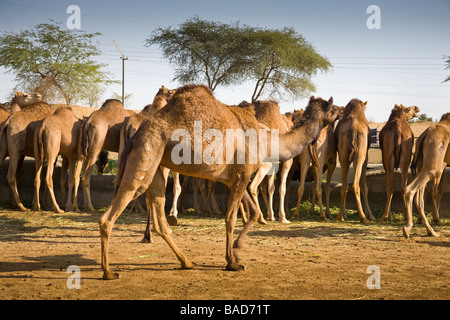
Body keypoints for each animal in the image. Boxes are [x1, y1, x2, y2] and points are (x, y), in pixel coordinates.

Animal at [97, 84, 338, 278]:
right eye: (334, 109)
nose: (340, 112)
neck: (267, 139)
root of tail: (138, 132)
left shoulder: (236, 178)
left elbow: (253, 213)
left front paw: (238, 250)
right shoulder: (243, 175)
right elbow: (230, 220)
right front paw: (232, 262)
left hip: (155, 164)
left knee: (159, 216)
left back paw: (187, 262)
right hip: (147, 153)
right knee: (112, 213)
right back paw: (108, 272)